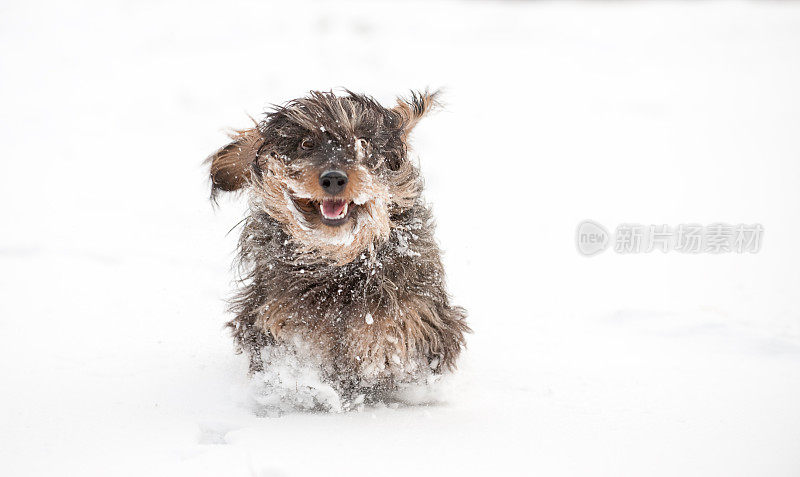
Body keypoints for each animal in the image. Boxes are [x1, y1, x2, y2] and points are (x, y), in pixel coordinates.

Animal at [206, 90, 468, 410]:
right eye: (306, 143)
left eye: (363, 142)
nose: (333, 178)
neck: (338, 265)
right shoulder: (268, 312)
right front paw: (304, 385)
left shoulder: (421, 312)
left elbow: (390, 330)